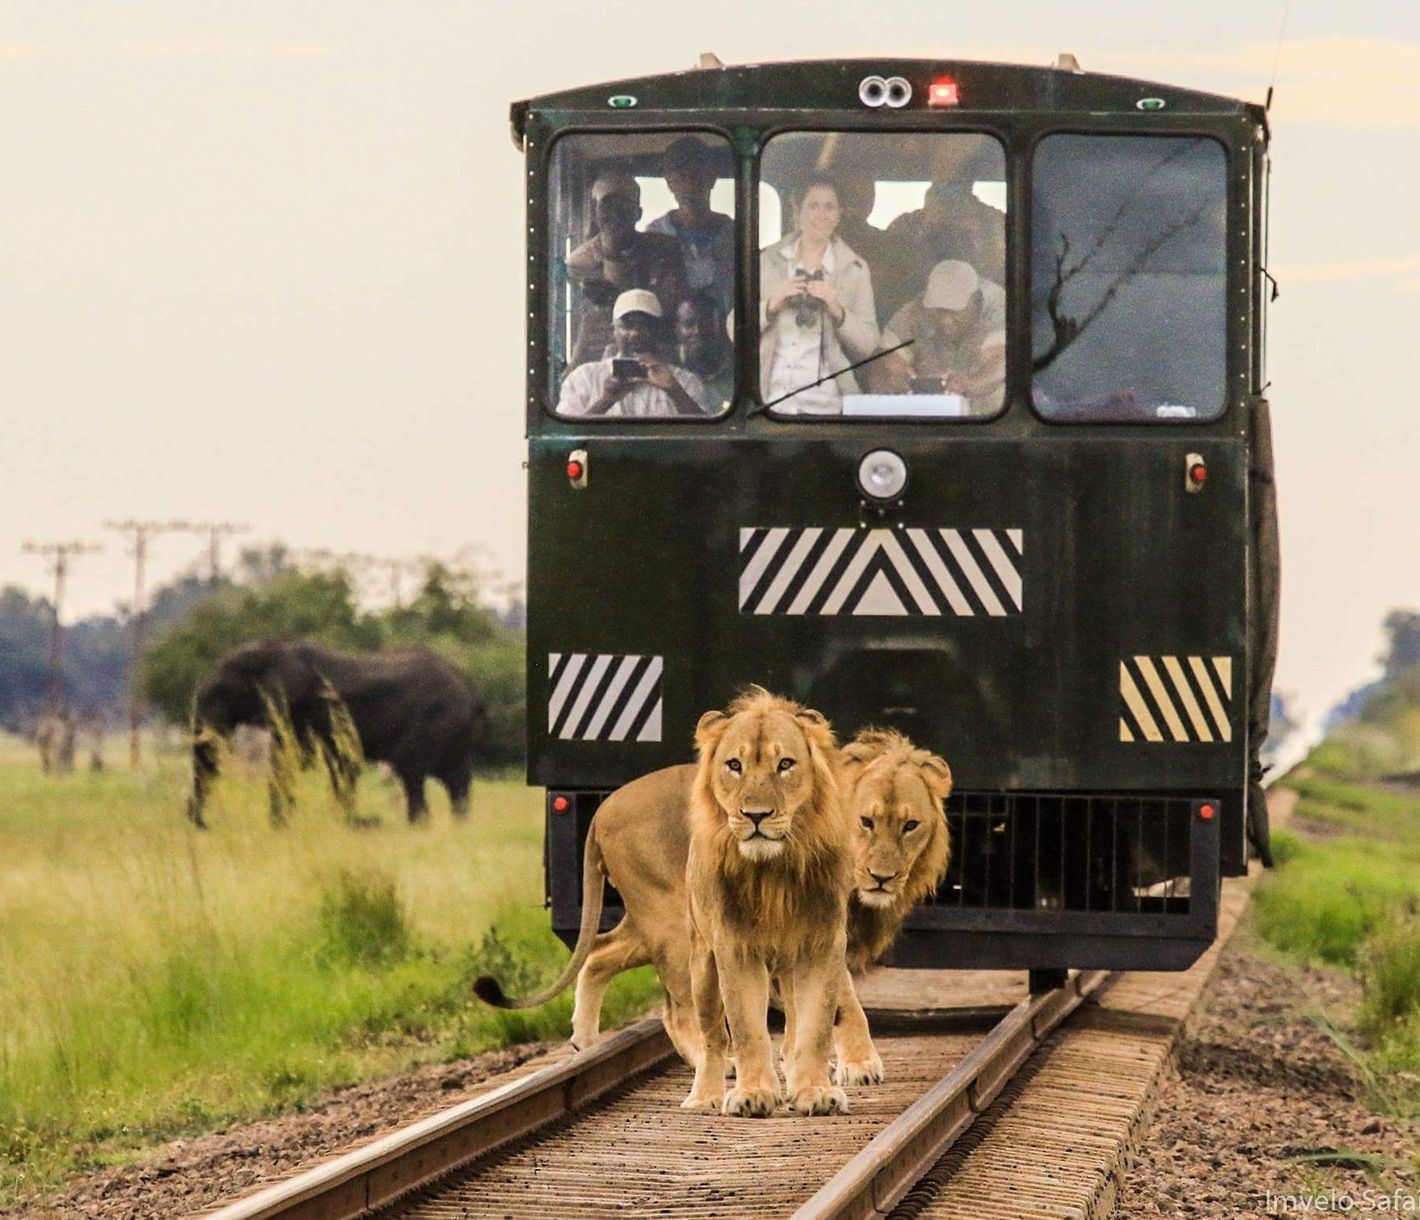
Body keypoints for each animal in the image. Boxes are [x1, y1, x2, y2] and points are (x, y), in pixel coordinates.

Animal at [186, 641, 487, 828]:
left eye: (223, 691)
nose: (201, 824)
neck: (276, 650)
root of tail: (473, 692)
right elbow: (286, 762)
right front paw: (280, 826)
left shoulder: (314, 710)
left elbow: (329, 763)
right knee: (456, 781)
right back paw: (456, 826)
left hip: (437, 721)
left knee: (412, 770)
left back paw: (418, 826)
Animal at [473, 725, 952, 1091]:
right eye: (865, 822)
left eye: (910, 826)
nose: (882, 877)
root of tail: (603, 809)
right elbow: (842, 1000)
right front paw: (858, 1063)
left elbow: (803, 1006)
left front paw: (798, 1063)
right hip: (674, 923)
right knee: (678, 1009)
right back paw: (719, 1066)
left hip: (651, 922)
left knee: (598, 955)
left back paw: (585, 1046)